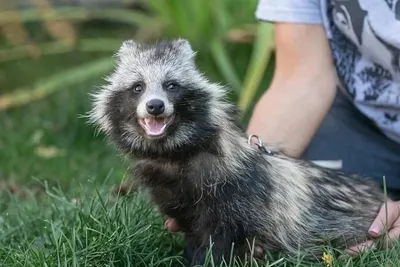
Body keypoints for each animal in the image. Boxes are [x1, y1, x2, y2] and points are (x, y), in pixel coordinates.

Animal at [88, 38, 388, 266]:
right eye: (137, 87)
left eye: (171, 85)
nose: (155, 106)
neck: (174, 155)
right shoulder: (184, 203)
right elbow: (193, 237)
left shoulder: (232, 197)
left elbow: (216, 245)